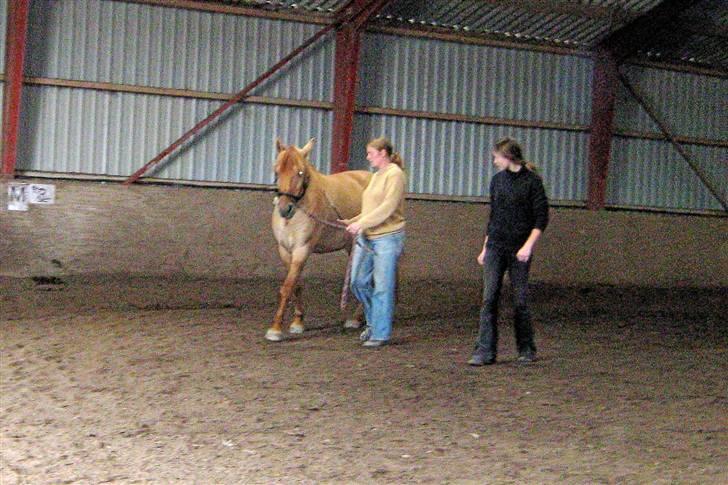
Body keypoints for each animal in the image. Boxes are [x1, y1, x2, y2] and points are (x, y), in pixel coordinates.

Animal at [266, 136, 372, 340]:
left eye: (300, 172)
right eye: (276, 170)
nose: (285, 208)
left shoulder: (302, 249)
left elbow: (287, 287)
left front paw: (275, 329)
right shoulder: (285, 250)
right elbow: (295, 285)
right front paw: (298, 322)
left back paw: (356, 319)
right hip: (351, 246)